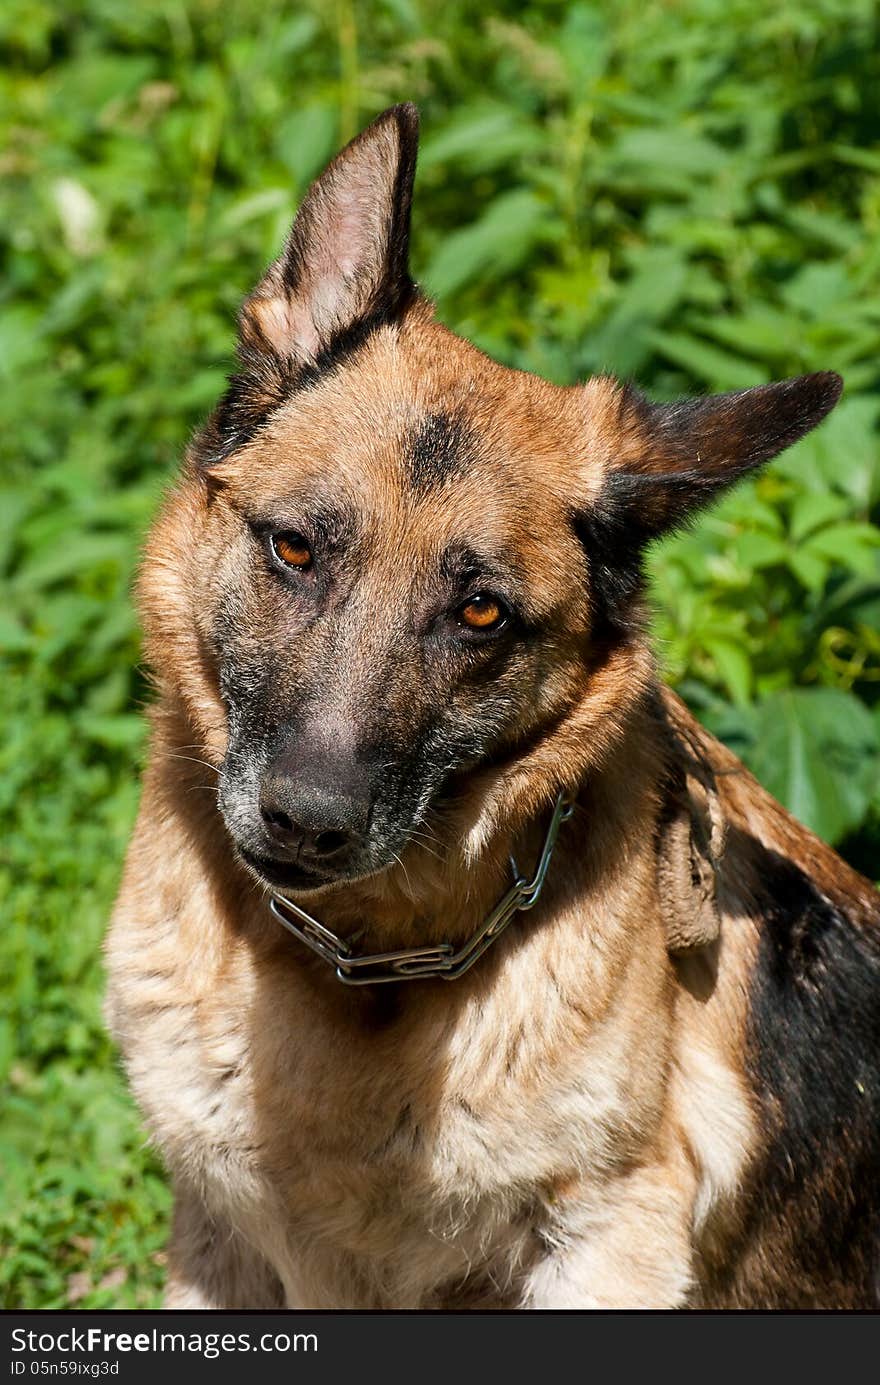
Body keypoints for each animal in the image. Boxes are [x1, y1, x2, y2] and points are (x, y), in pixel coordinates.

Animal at [108, 108, 880, 1307]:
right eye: (294, 548)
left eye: (480, 612)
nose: (307, 821)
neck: (360, 968)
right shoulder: (218, 1245)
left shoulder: (608, 1239)